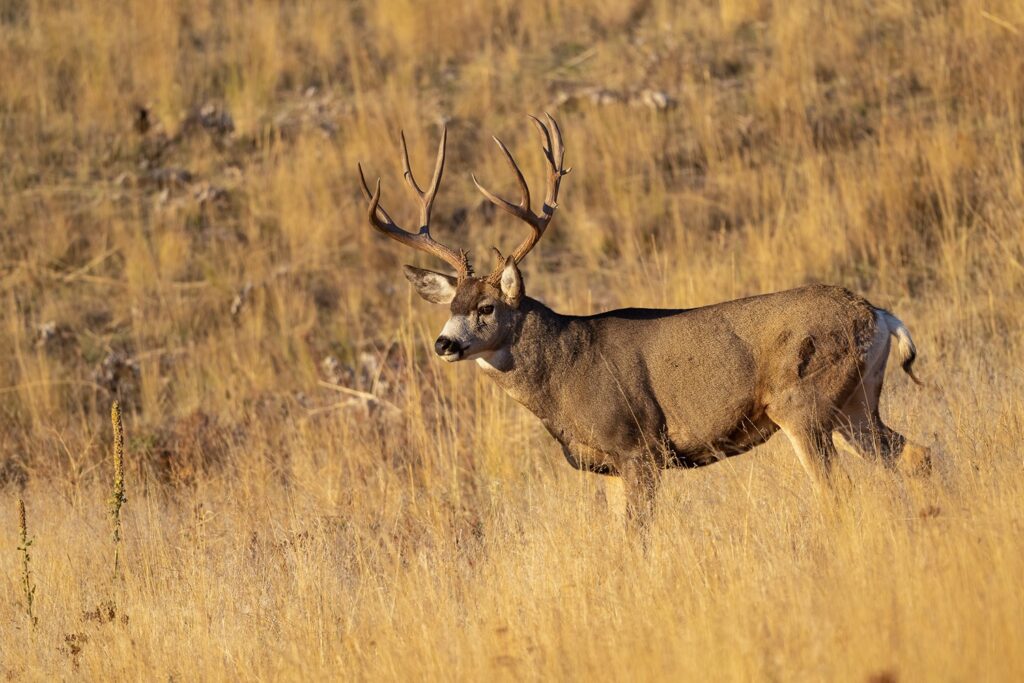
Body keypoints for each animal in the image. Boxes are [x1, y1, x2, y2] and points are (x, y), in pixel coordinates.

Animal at [357, 114, 931, 534]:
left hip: (804, 401)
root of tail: (879, 315)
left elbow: (638, 539)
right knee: (916, 454)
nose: (443, 344)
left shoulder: (640, 447)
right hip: (854, 405)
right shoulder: (610, 466)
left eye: (486, 308)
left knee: (839, 490)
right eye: (450, 306)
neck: (563, 372)